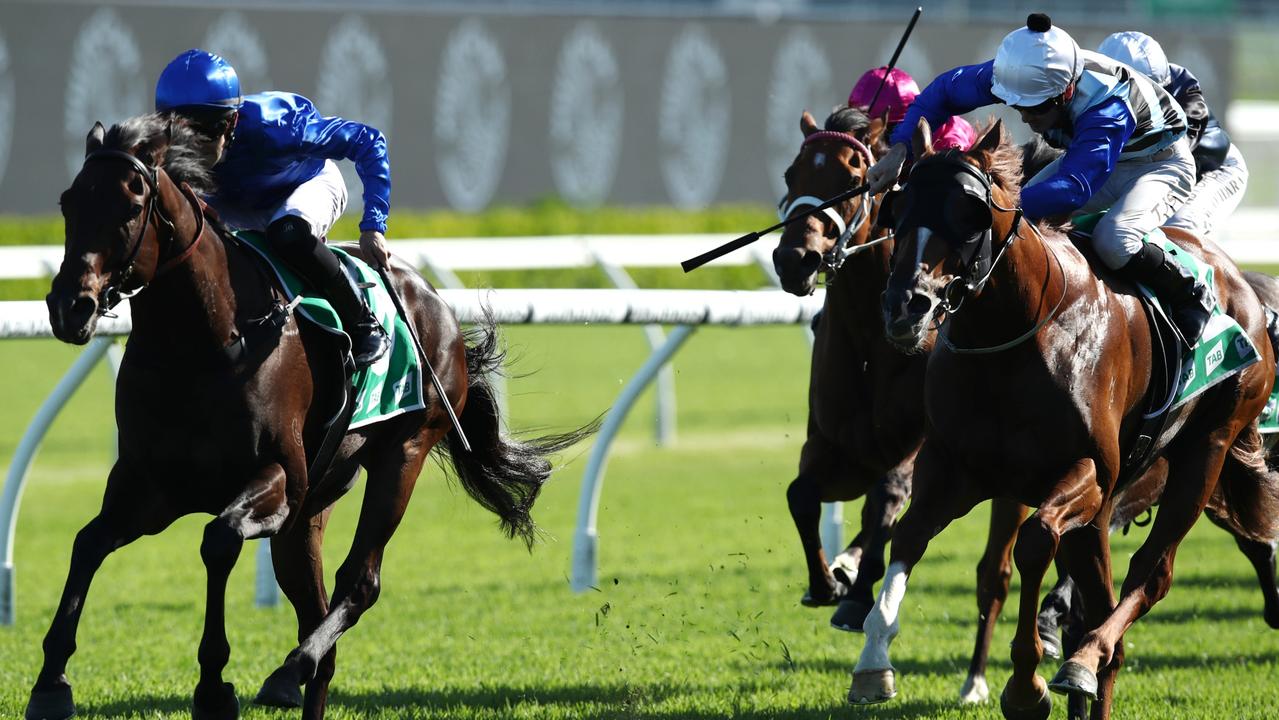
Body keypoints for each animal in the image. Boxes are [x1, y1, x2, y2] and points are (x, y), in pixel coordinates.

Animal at [31, 113, 588, 720]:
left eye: (131, 207)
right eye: (68, 202)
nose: (70, 307)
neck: (203, 343)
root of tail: (435, 302)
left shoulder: (279, 479)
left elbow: (218, 539)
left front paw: (213, 684)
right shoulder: (150, 485)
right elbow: (88, 543)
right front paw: (51, 683)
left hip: (404, 451)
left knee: (359, 583)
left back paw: (286, 670)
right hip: (314, 504)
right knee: (317, 615)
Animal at [767, 106, 920, 631]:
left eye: (854, 179)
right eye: (790, 174)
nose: (794, 259)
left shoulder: (914, 439)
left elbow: (890, 495)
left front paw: (856, 594)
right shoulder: (834, 440)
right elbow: (799, 494)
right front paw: (825, 582)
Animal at [849, 118, 1279, 720]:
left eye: (969, 211)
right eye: (898, 206)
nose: (904, 306)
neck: (1012, 333)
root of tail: (1241, 285)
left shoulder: (1088, 472)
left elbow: (1034, 541)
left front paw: (1026, 684)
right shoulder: (955, 467)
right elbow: (909, 536)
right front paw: (873, 661)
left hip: (1206, 450)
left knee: (1150, 577)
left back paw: (1084, 659)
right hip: (1105, 511)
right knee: (1102, 611)